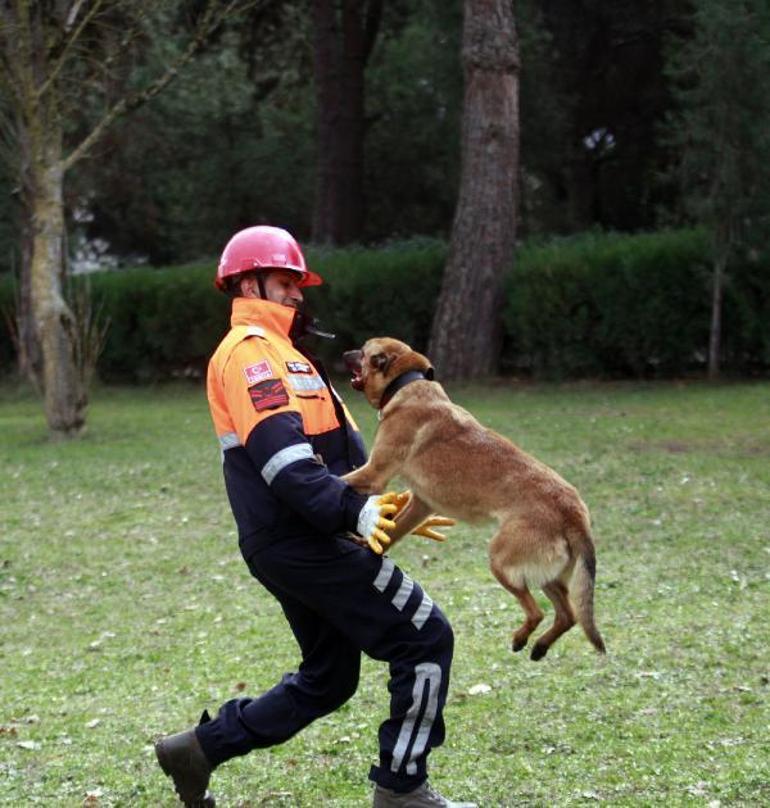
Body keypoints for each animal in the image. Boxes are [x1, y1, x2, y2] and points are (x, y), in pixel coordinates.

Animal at [344, 338, 608, 660]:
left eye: (363, 351)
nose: (344, 352)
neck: (406, 385)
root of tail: (573, 512)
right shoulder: (422, 504)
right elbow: (393, 531)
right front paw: (371, 544)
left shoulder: (374, 473)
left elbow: (342, 478)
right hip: (546, 575)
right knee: (567, 616)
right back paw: (539, 647)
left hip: (500, 560)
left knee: (537, 613)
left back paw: (521, 638)